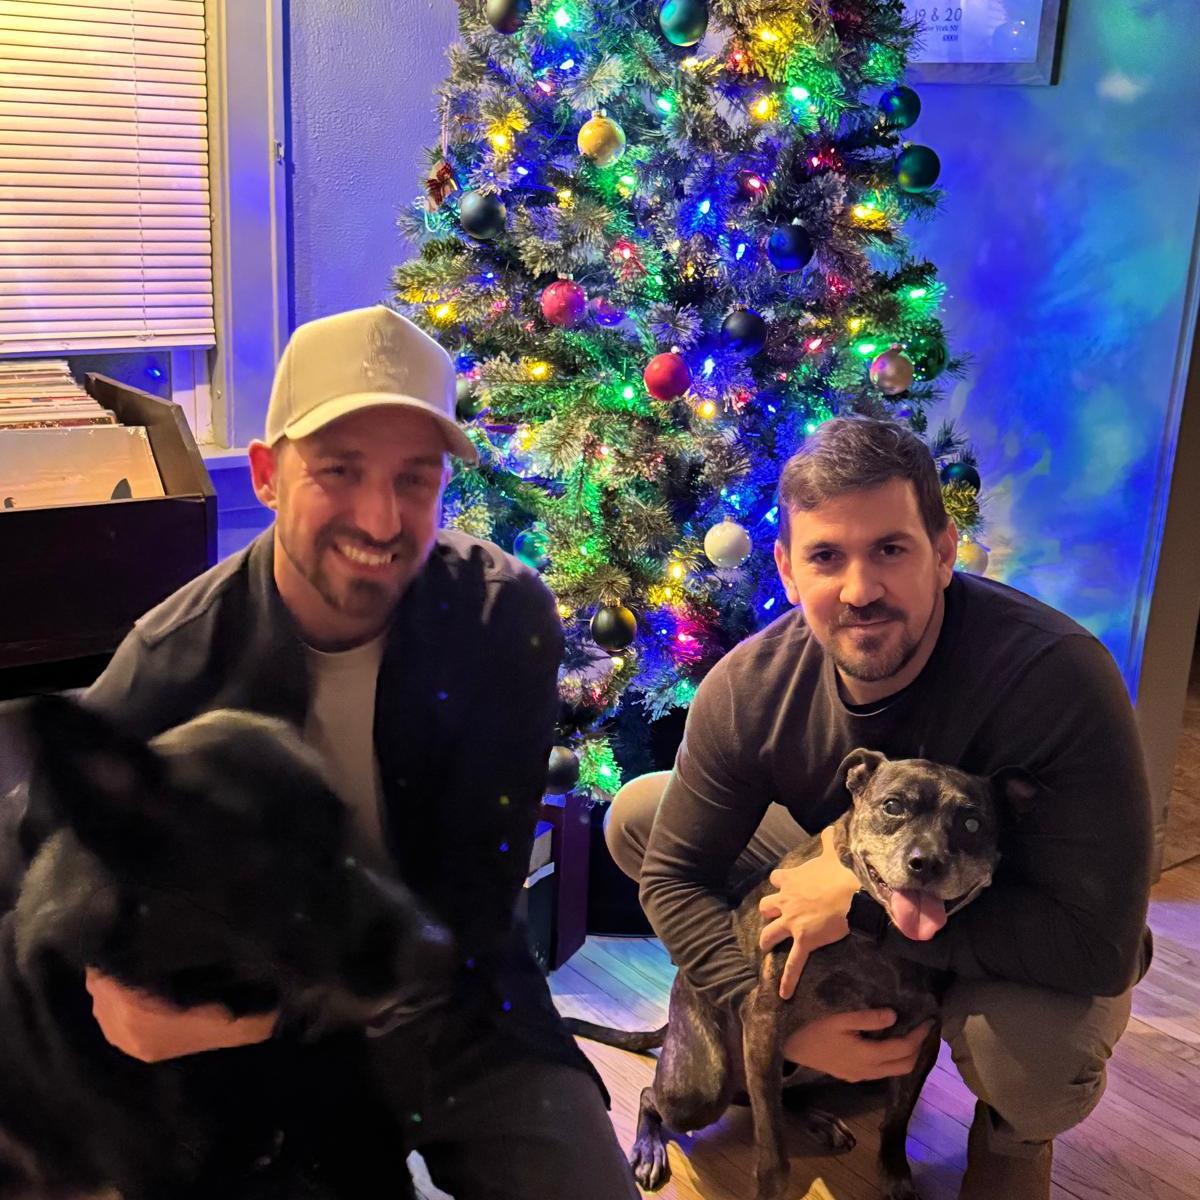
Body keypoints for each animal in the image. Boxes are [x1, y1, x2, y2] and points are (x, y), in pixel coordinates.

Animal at [568, 749, 1035, 1200]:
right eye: (893, 806)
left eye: (972, 823)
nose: (926, 863)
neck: (879, 937)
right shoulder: (763, 1024)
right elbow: (772, 1151)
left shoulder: (921, 1040)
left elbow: (896, 1122)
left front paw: (897, 1179)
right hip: (700, 1088)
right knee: (657, 1096)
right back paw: (649, 1147)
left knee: (781, 1095)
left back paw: (818, 1120)